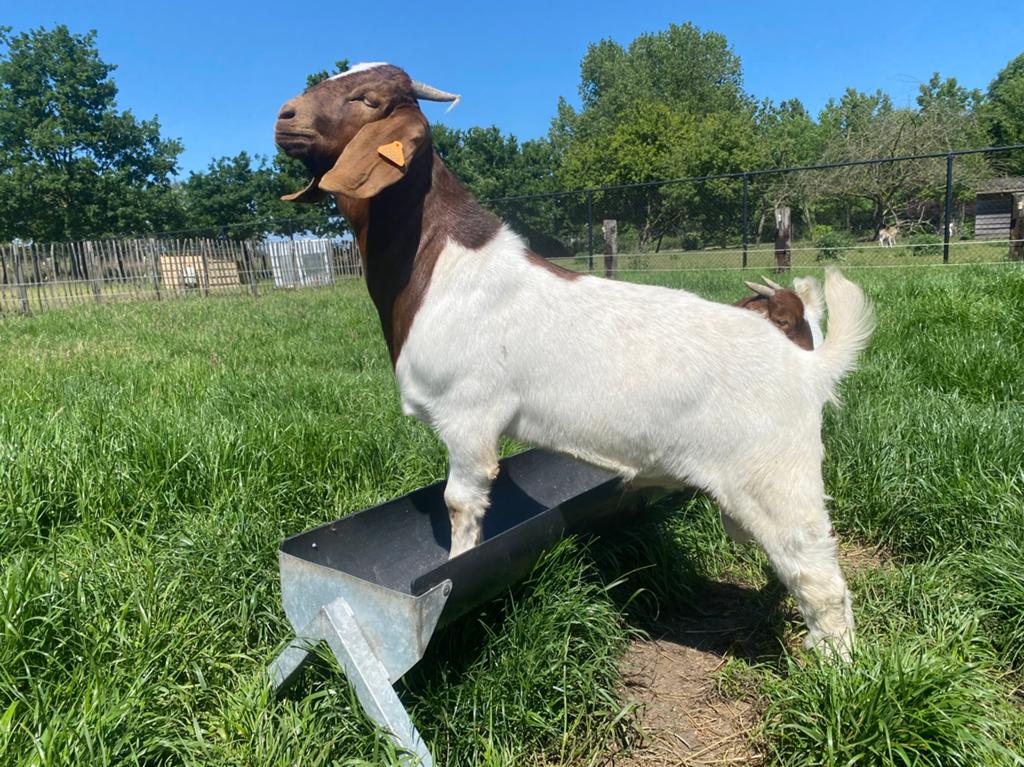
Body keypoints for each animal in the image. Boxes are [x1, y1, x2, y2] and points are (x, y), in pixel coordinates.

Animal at [275, 63, 875, 657]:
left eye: (368, 99)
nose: (285, 116)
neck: (439, 264)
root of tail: (809, 368)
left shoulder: (468, 417)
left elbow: (460, 505)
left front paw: (455, 567)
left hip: (778, 477)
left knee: (818, 575)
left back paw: (833, 666)